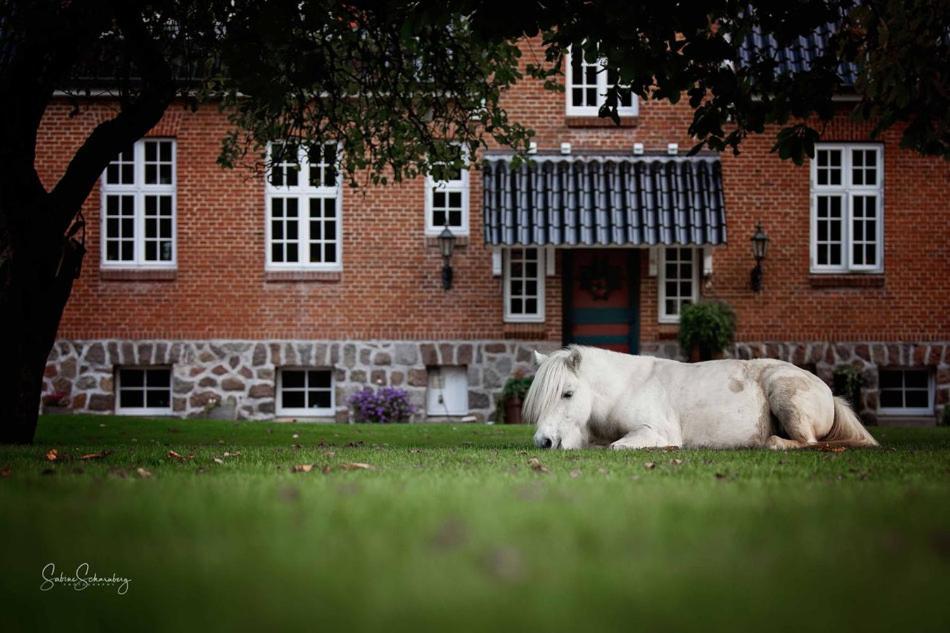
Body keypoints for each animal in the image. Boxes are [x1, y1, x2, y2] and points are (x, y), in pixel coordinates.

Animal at [524, 346, 880, 450]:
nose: (543, 441)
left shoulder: (655, 432)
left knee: (807, 443)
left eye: (568, 393)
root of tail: (827, 391)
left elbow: (616, 446)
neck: (625, 388)